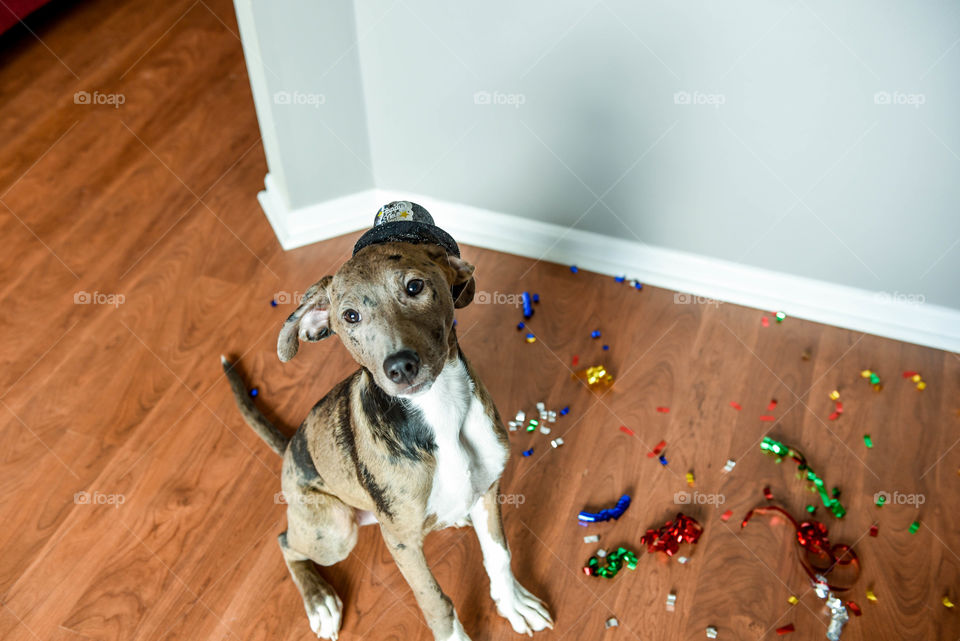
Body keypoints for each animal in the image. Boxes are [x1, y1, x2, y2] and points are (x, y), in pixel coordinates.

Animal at [224, 202, 552, 640]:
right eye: (349, 316)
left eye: (414, 287)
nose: (399, 367)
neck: (440, 411)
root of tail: (290, 447)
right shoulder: (402, 544)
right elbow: (437, 602)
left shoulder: (489, 491)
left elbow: (499, 554)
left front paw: (513, 603)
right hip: (334, 531)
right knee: (285, 542)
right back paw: (319, 601)